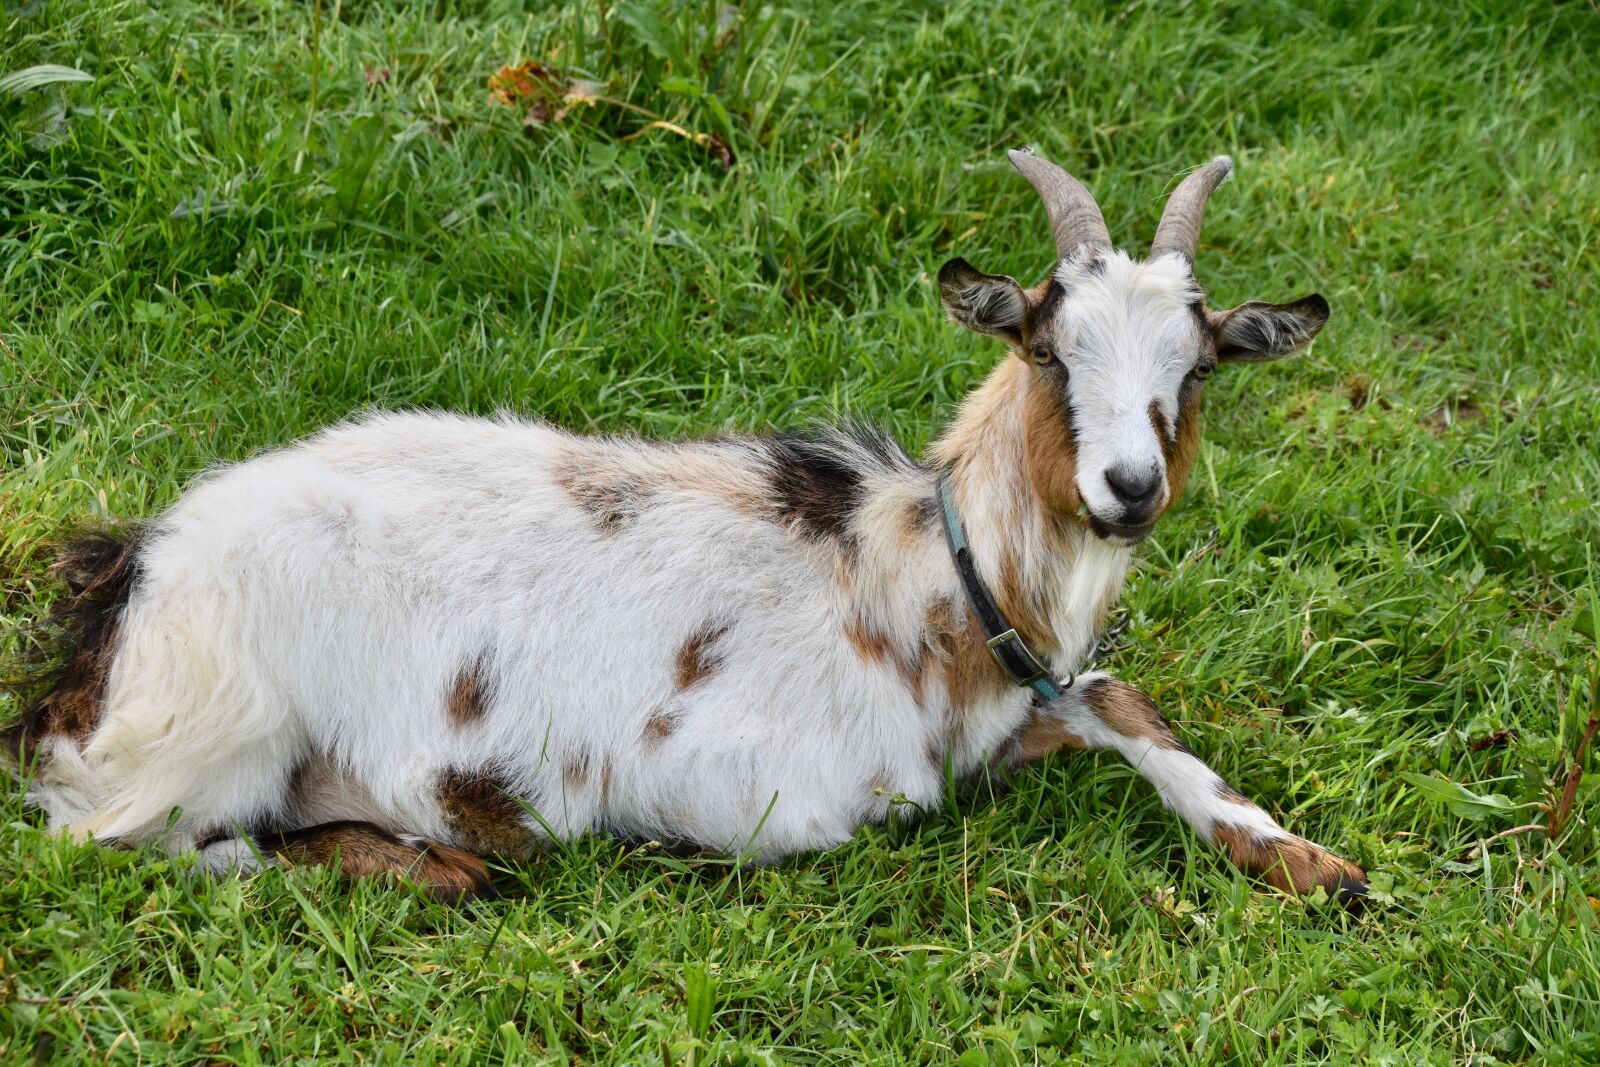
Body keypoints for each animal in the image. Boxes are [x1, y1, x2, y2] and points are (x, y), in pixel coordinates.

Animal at [3, 152, 1365, 905]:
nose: (1128, 484)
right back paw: (434, 861)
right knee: (120, 839)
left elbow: (1119, 702)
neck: (918, 577)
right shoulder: (774, 791)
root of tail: (131, 575)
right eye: (1044, 348)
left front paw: (1309, 860)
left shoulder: (1012, 702)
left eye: (1199, 365)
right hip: (220, 731)